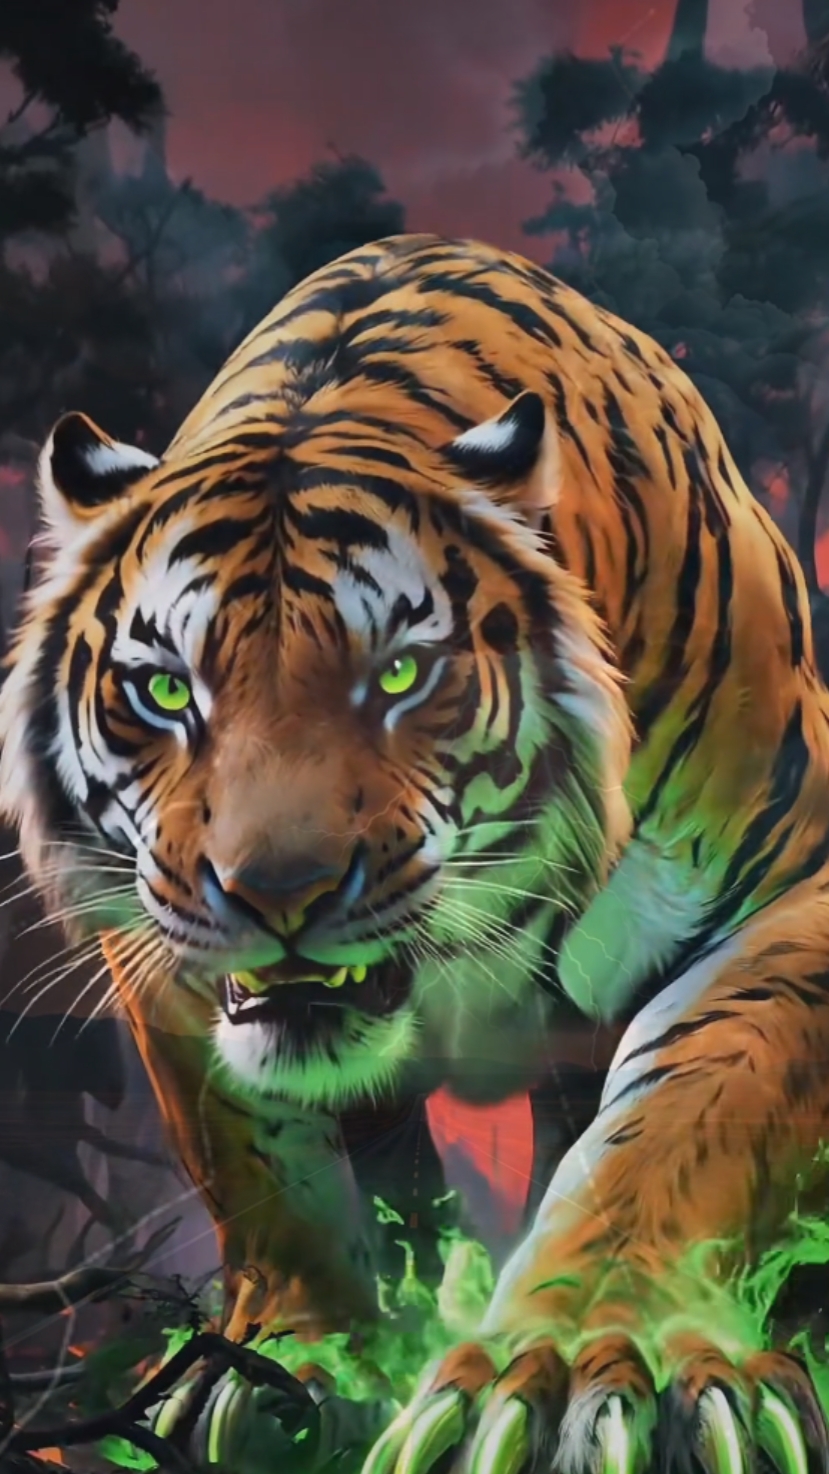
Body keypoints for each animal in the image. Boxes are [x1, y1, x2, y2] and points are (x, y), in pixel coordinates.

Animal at [2, 232, 829, 1474]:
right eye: (165, 691)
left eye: (397, 672)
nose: (275, 893)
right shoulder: (157, 947)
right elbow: (268, 1166)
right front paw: (287, 1365)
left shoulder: (791, 893)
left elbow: (682, 1118)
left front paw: (584, 1368)